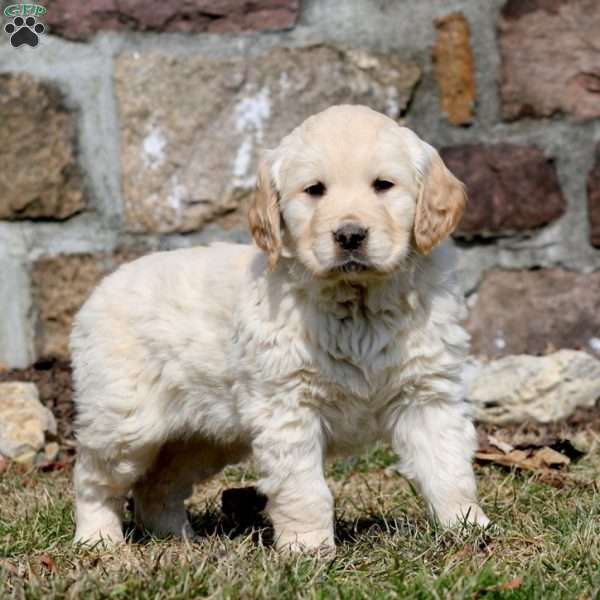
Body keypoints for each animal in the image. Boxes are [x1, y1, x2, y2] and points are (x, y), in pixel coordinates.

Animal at [72, 102, 490, 548]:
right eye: (314, 190)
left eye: (383, 185)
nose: (350, 235)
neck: (357, 303)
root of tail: (98, 291)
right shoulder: (288, 406)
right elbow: (304, 489)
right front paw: (308, 546)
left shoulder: (428, 394)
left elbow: (448, 468)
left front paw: (467, 527)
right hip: (123, 420)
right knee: (93, 479)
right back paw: (98, 538)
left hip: (202, 436)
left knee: (158, 485)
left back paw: (179, 538)